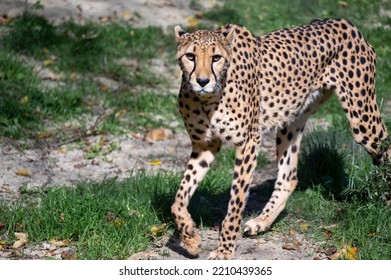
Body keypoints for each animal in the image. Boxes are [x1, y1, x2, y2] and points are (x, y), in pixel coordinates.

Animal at [172, 18, 391, 260]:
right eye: (190, 56)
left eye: (216, 57)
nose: (202, 81)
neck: (207, 99)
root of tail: (344, 22)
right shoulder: (204, 145)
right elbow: (179, 199)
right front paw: (190, 238)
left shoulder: (248, 143)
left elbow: (236, 202)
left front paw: (224, 250)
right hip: (292, 120)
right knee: (289, 176)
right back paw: (261, 222)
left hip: (362, 120)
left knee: (385, 146)